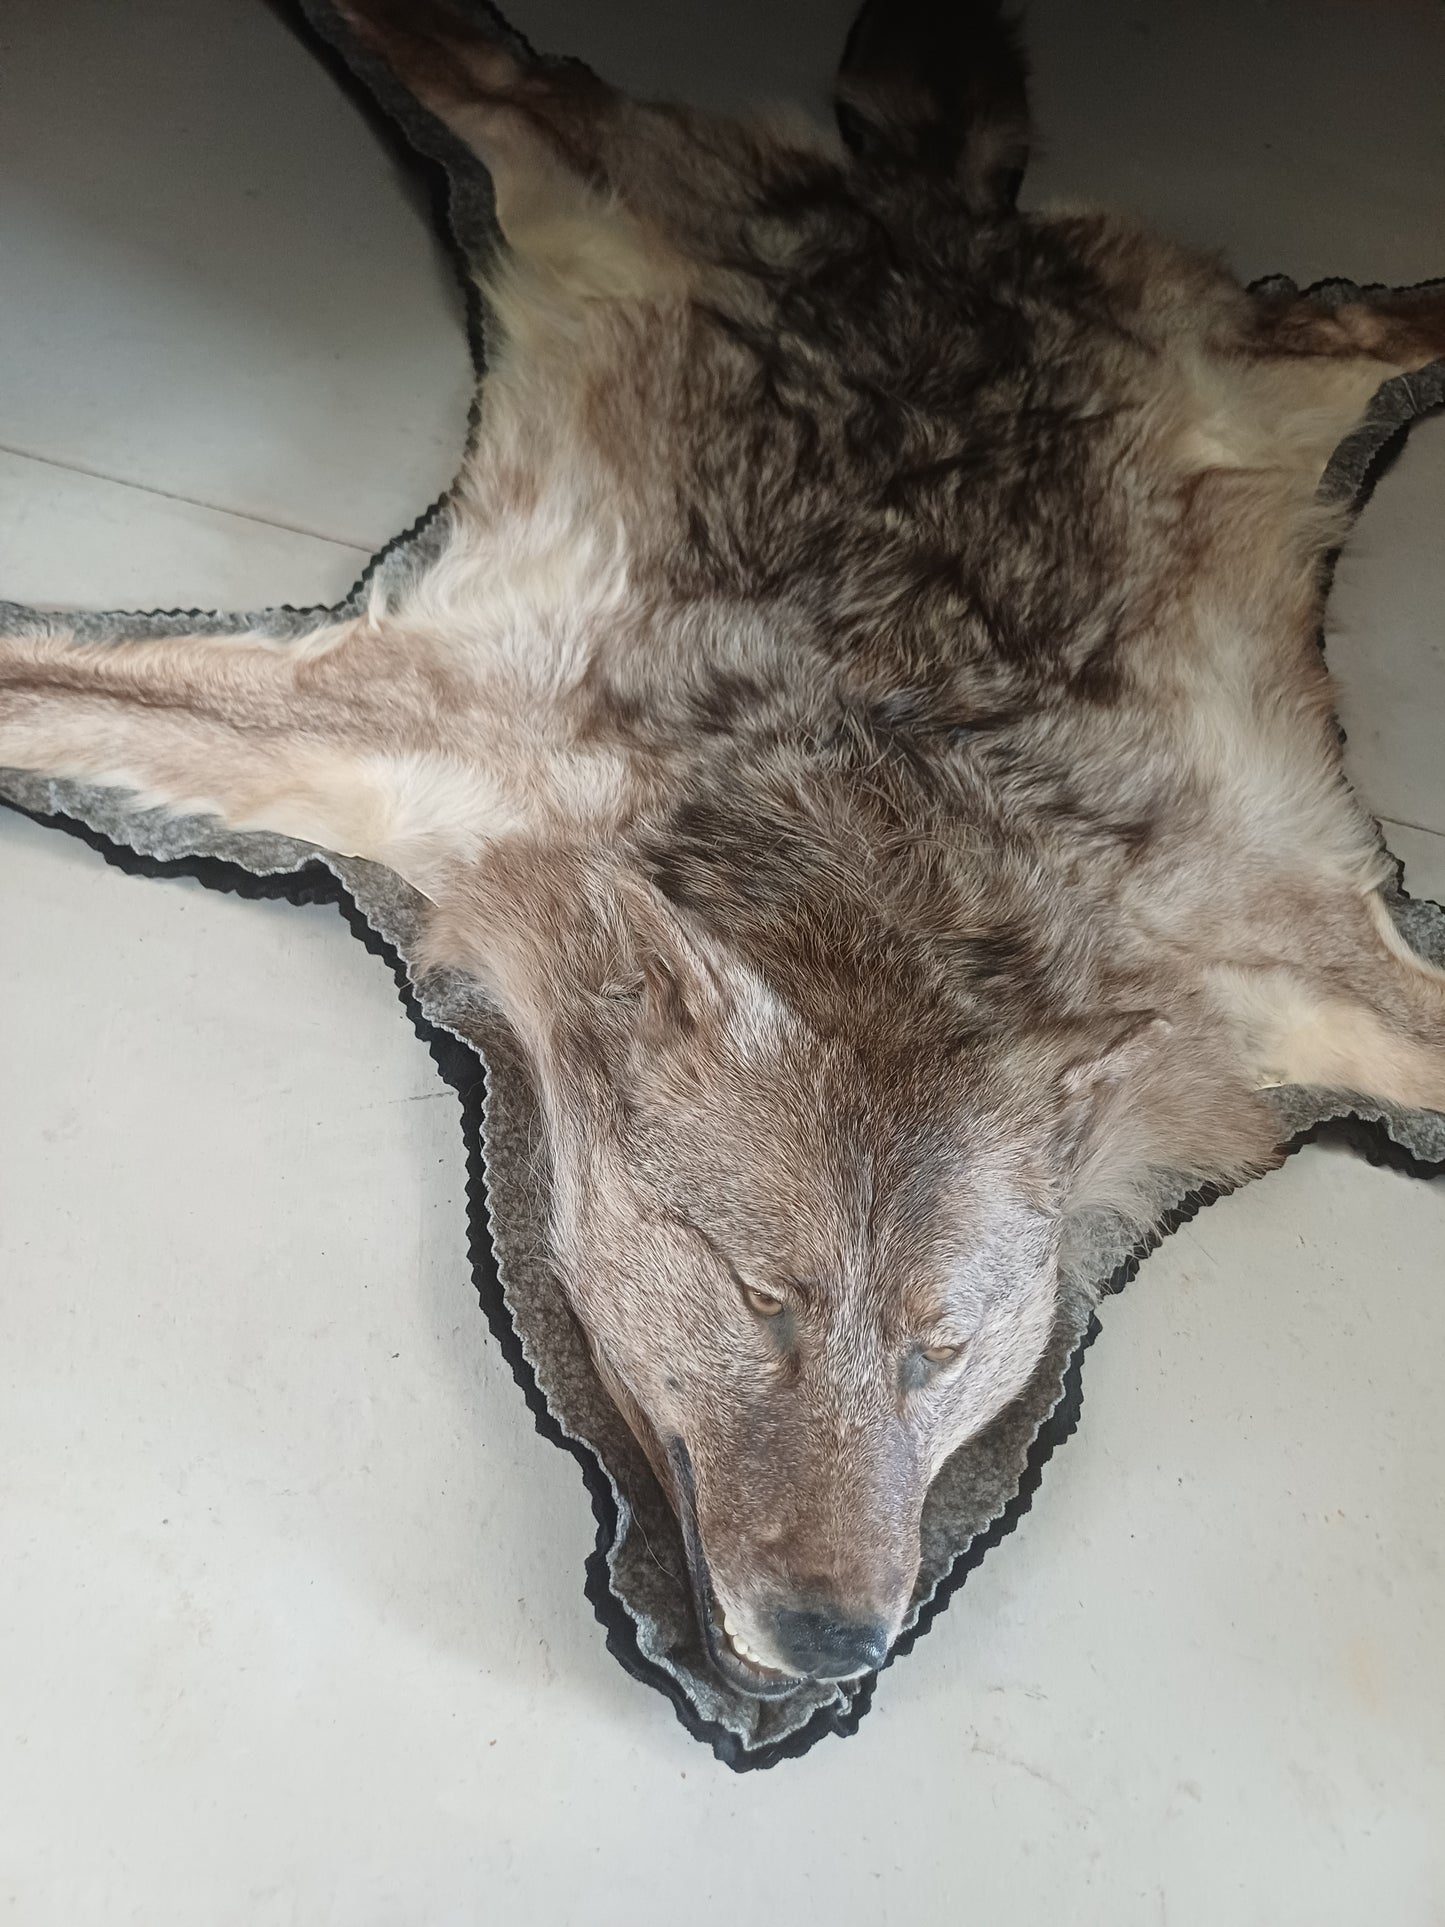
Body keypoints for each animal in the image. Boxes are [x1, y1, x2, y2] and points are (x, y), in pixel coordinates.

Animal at [2, 0, 1443, 1700]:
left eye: (938, 1348)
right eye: (762, 1301)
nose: (836, 1645)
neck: (888, 873)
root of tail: (937, 209)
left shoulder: (1252, 938)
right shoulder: (445, 739)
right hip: (558, 160)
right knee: (469, 53)